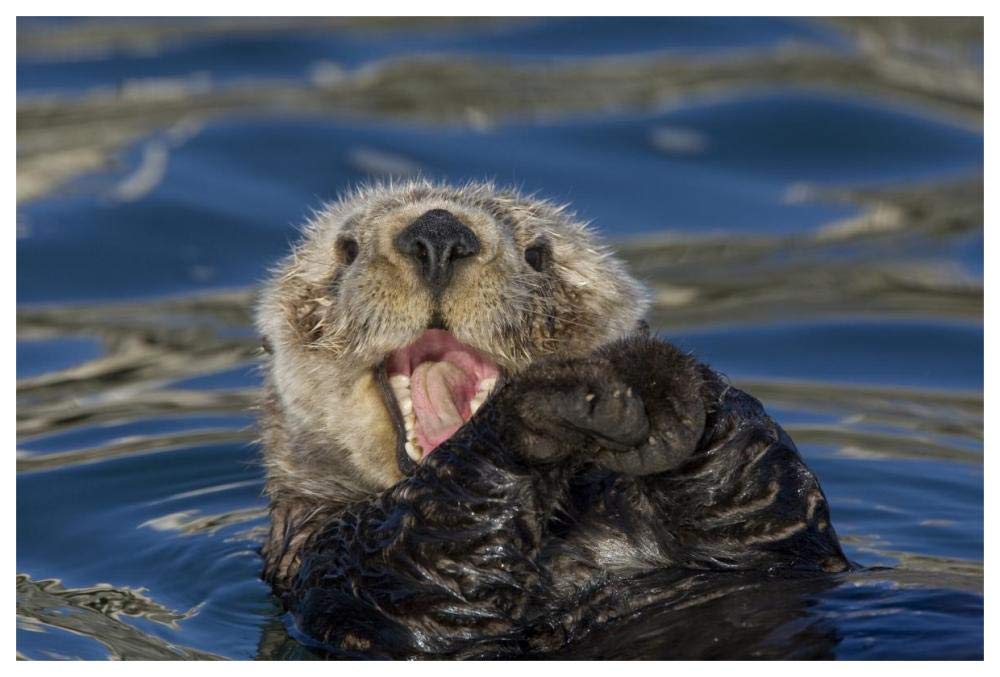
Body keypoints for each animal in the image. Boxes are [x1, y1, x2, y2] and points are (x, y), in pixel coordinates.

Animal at [255, 181, 849, 658]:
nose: (439, 234)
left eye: (540, 254)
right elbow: (432, 567)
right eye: (346, 250)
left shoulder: (775, 547)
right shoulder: (332, 562)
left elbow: (763, 508)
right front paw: (544, 404)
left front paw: (653, 373)